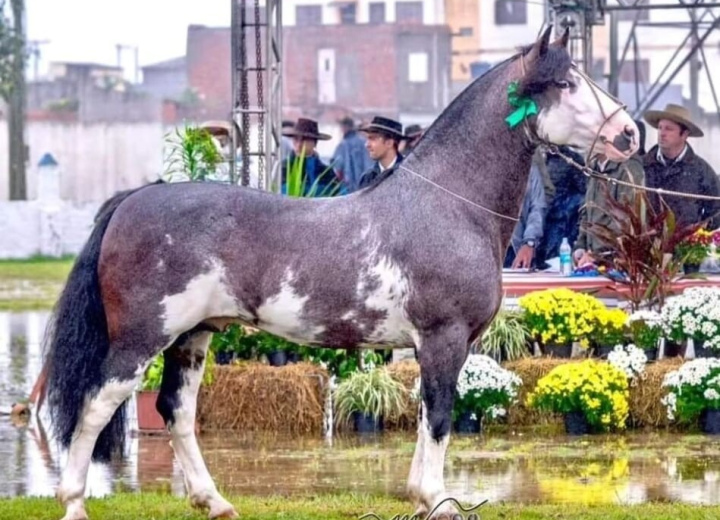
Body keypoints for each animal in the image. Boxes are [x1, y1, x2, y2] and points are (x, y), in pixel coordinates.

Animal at [46, 27, 636, 520]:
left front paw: (420, 495)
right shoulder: (443, 338)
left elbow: (427, 414)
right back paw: (74, 502)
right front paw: (438, 500)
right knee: (96, 405)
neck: (451, 205)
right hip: (143, 338)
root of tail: (132, 200)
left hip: (193, 336)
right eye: (566, 83)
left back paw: (214, 501)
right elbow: (441, 416)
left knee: (176, 410)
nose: (629, 132)